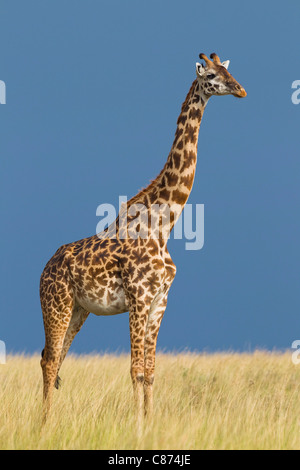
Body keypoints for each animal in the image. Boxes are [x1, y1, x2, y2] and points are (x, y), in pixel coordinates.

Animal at [39, 53, 246, 424]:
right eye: (211, 76)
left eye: (229, 71)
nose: (241, 90)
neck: (164, 226)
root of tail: (44, 270)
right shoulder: (138, 297)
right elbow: (135, 369)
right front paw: (137, 425)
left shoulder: (160, 300)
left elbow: (149, 370)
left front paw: (149, 422)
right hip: (56, 304)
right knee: (49, 361)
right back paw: (44, 424)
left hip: (79, 309)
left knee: (55, 357)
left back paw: (51, 419)